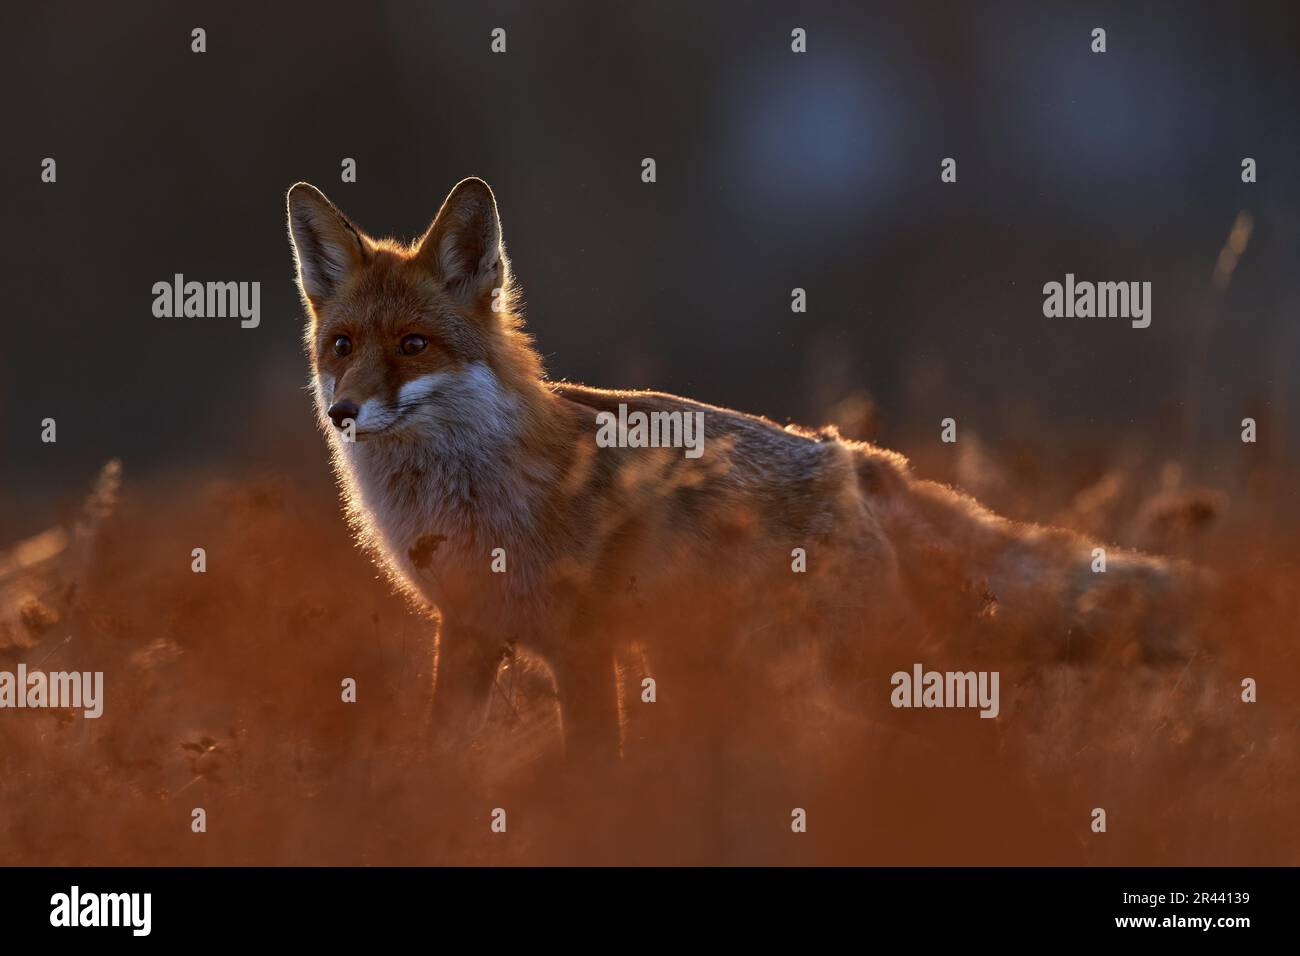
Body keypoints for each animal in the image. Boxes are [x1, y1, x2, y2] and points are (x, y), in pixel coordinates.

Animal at [286, 177, 1198, 760]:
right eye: (343, 346)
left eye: (413, 345)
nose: (343, 413)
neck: (468, 497)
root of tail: (853, 454)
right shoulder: (470, 631)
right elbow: (439, 756)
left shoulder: (583, 645)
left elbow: (594, 771)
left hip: (860, 666)